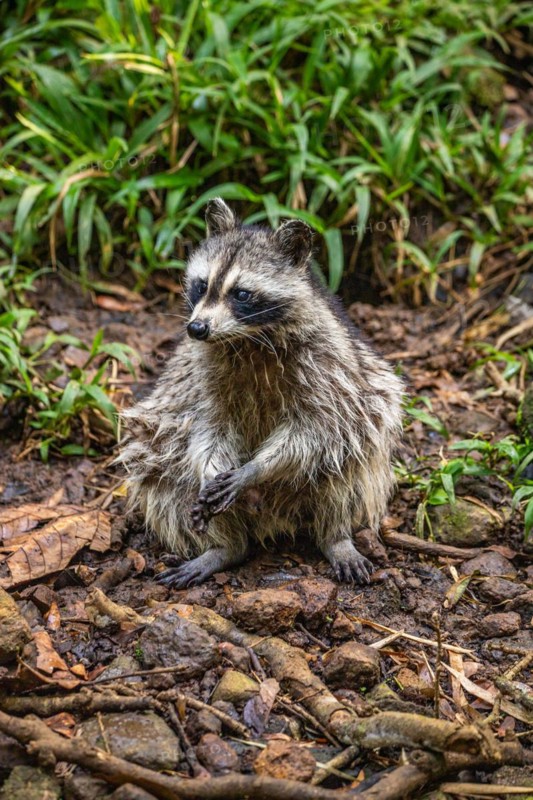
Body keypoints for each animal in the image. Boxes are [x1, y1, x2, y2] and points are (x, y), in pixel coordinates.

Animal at [118, 199, 403, 588]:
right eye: (202, 285)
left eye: (241, 294)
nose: (196, 328)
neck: (246, 338)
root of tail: (271, 517)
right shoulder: (200, 379)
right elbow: (208, 428)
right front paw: (210, 471)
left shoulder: (330, 370)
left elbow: (319, 429)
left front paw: (255, 469)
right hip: (162, 452)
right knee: (163, 473)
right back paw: (225, 546)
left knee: (348, 464)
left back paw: (336, 537)